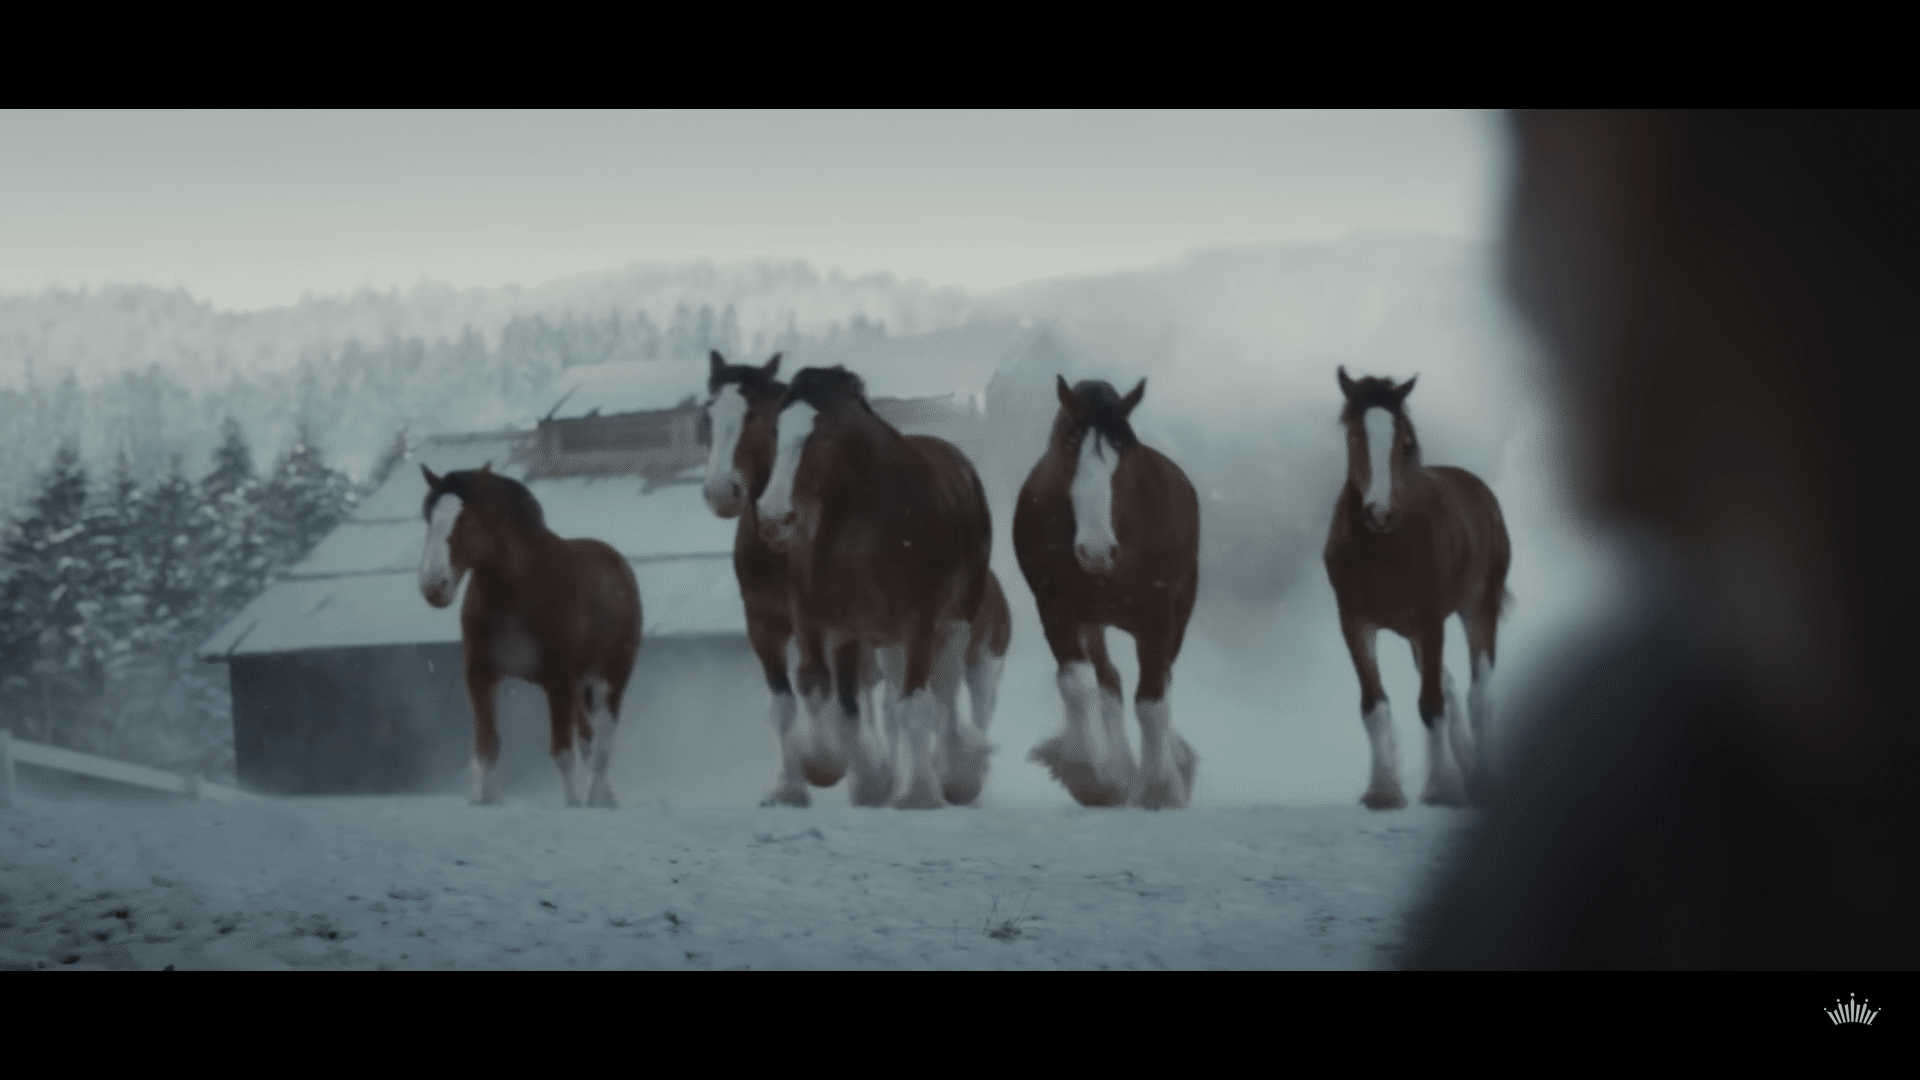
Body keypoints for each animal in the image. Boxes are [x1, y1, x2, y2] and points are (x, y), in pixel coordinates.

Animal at [418, 463, 641, 807]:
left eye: (466, 519)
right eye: (429, 517)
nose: (433, 586)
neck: (514, 597)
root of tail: (620, 567)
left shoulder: (557, 680)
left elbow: (562, 753)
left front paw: (573, 806)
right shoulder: (480, 676)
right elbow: (487, 748)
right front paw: (486, 802)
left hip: (611, 678)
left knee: (603, 745)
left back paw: (595, 800)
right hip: (579, 686)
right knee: (589, 740)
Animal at [752, 365, 998, 803]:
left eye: (823, 435)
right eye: (777, 430)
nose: (775, 518)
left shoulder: (920, 620)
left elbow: (916, 706)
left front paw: (918, 796)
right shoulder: (815, 617)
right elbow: (817, 685)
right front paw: (824, 765)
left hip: (957, 617)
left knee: (945, 691)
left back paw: (955, 775)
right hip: (877, 637)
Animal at [1013, 374, 1190, 803]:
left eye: (1123, 453)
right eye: (1068, 449)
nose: (1096, 550)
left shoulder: (1158, 618)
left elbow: (1152, 702)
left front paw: (1160, 789)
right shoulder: (1056, 609)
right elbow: (1077, 685)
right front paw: (1094, 777)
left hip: (1181, 609)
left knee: (1163, 679)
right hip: (1093, 623)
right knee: (1109, 682)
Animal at [1328, 363, 1505, 807]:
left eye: (1404, 440)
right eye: (1353, 435)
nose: (1378, 513)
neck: (1385, 550)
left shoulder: (1431, 621)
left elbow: (1431, 705)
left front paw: (1439, 788)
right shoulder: (1356, 624)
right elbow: (1373, 706)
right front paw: (1382, 791)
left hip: (1479, 607)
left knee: (1479, 692)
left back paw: (1483, 777)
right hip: (1413, 635)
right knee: (1452, 684)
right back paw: (1467, 769)